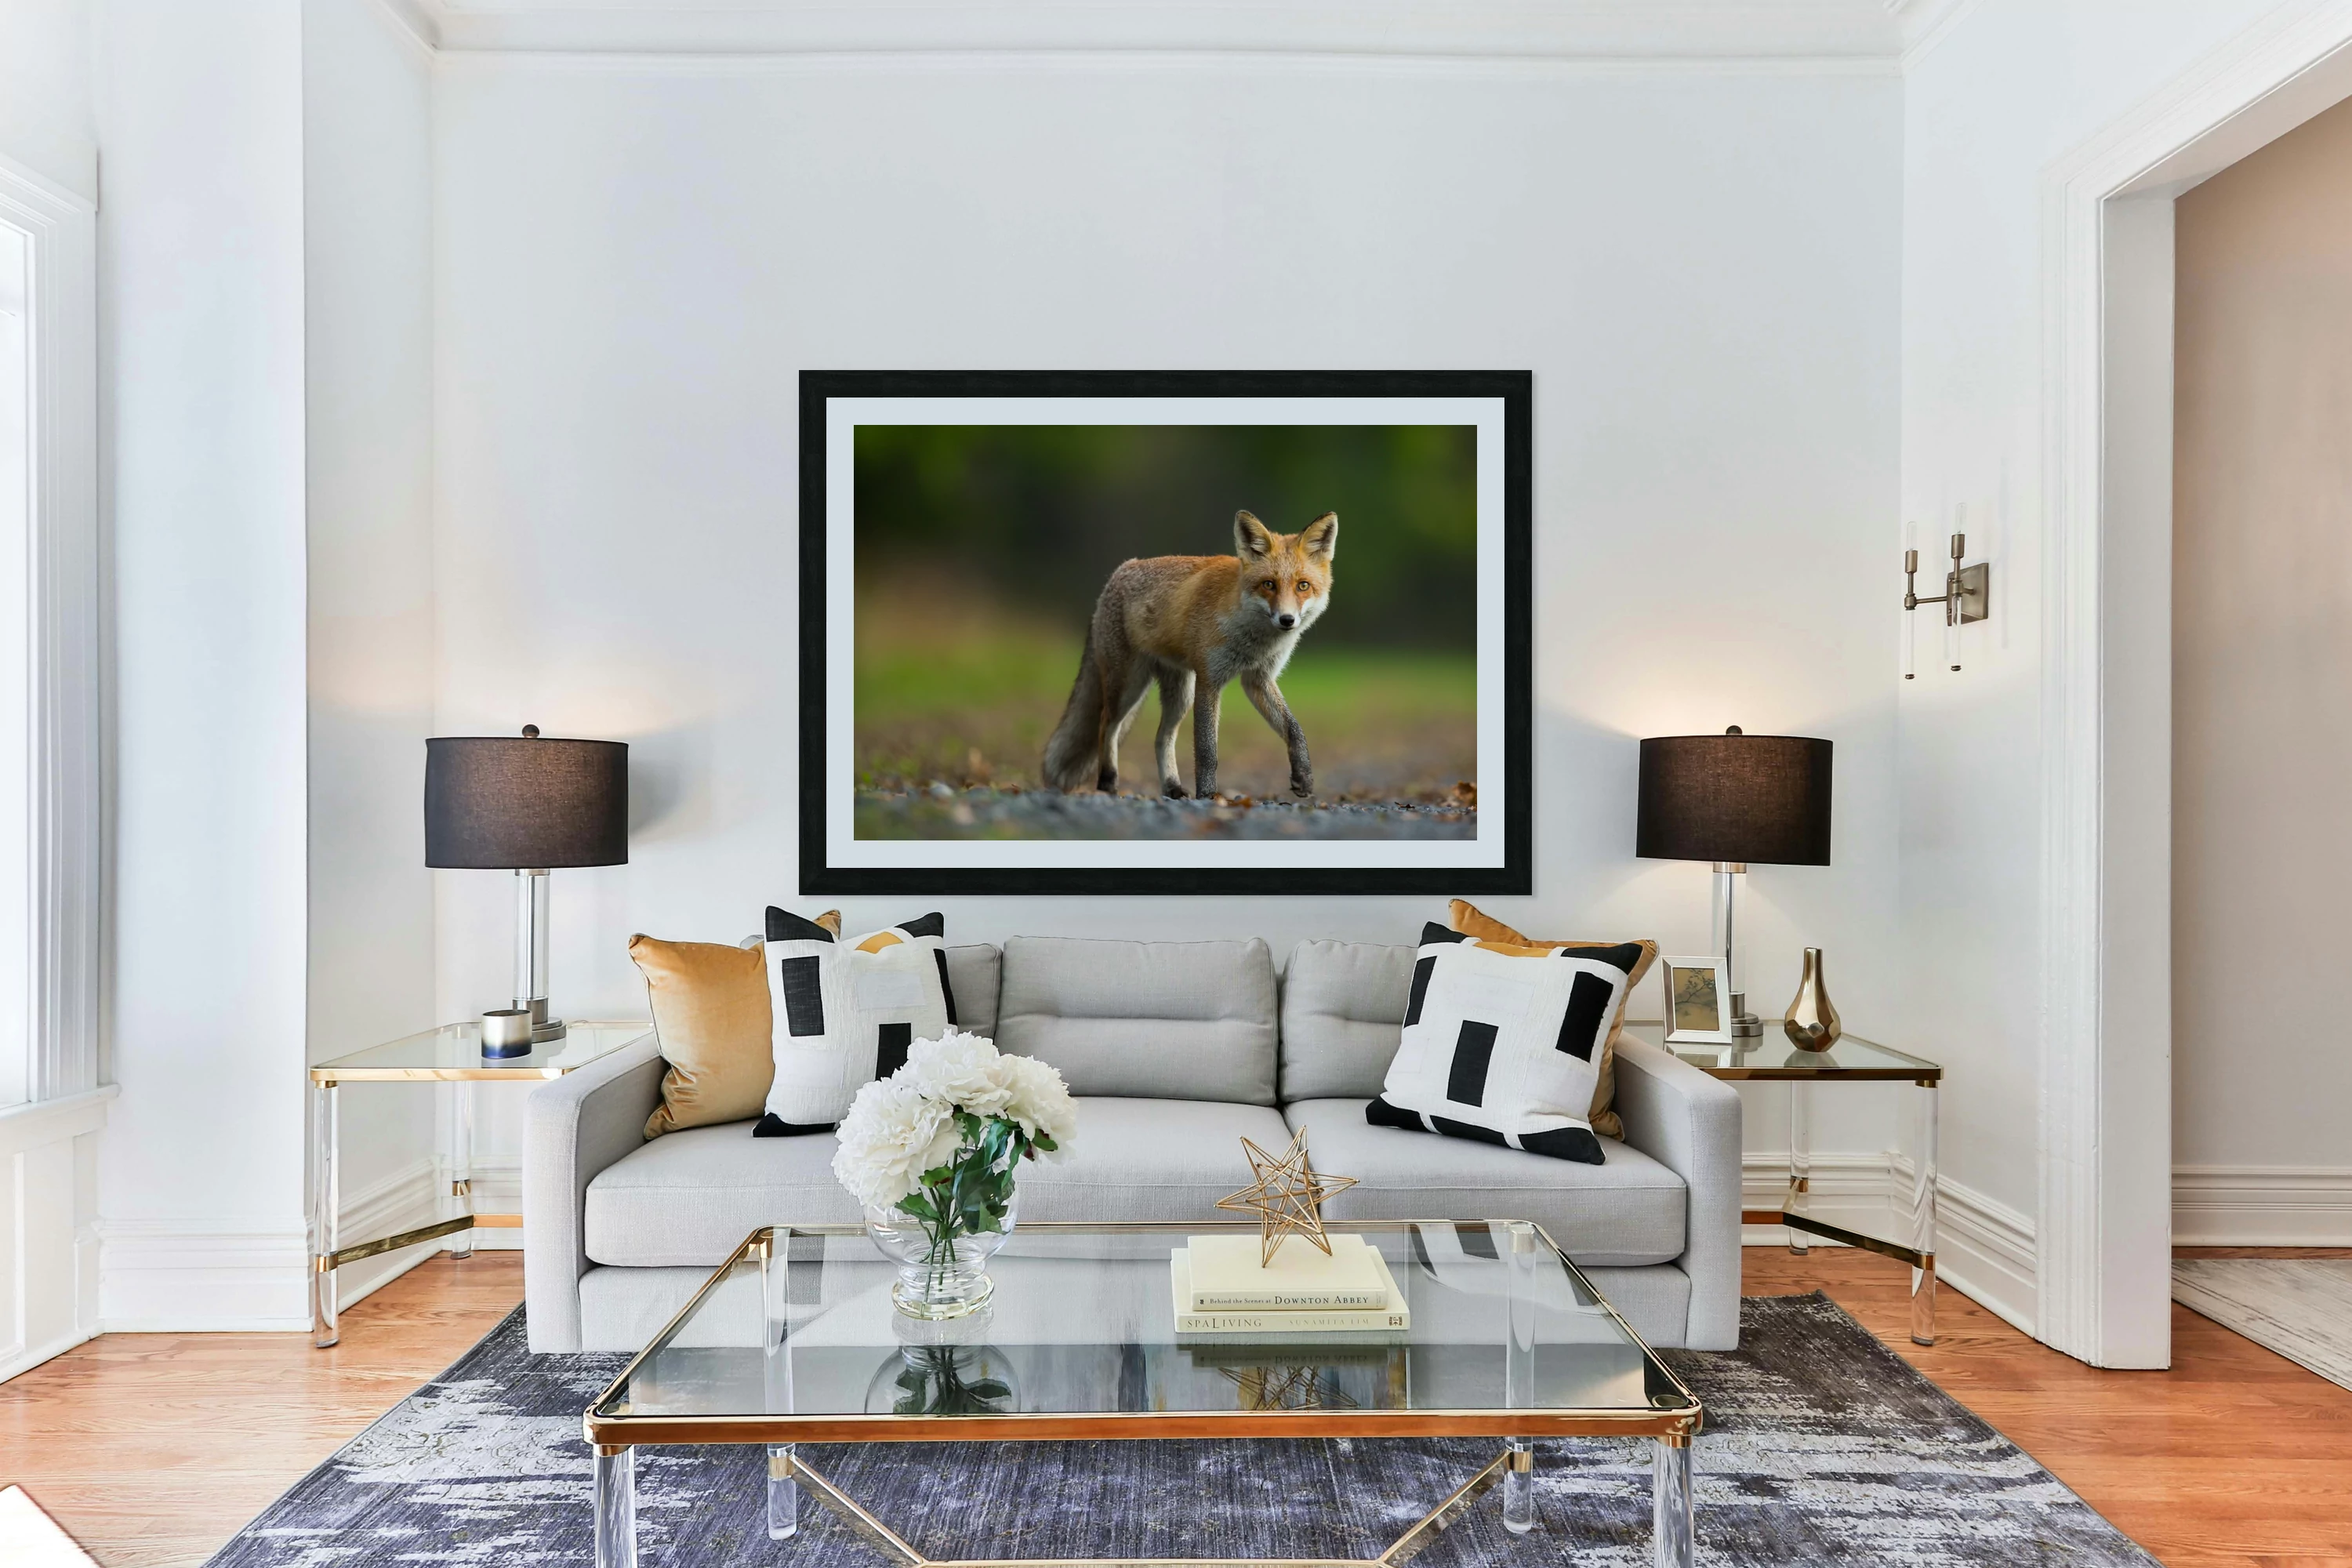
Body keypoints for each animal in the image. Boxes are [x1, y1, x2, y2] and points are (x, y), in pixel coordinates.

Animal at [1042, 509, 1338, 801]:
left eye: (1303, 586)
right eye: (1269, 584)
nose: (1287, 620)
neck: (1252, 639)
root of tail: (1117, 573)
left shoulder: (1258, 679)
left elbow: (1294, 729)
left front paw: (1304, 776)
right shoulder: (1209, 679)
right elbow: (1207, 751)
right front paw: (1207, 795)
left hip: (1180, 694)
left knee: (1161, 737)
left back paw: (1171, 786)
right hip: (1128, 686)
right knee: (1106, 725)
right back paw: (1108, 783)